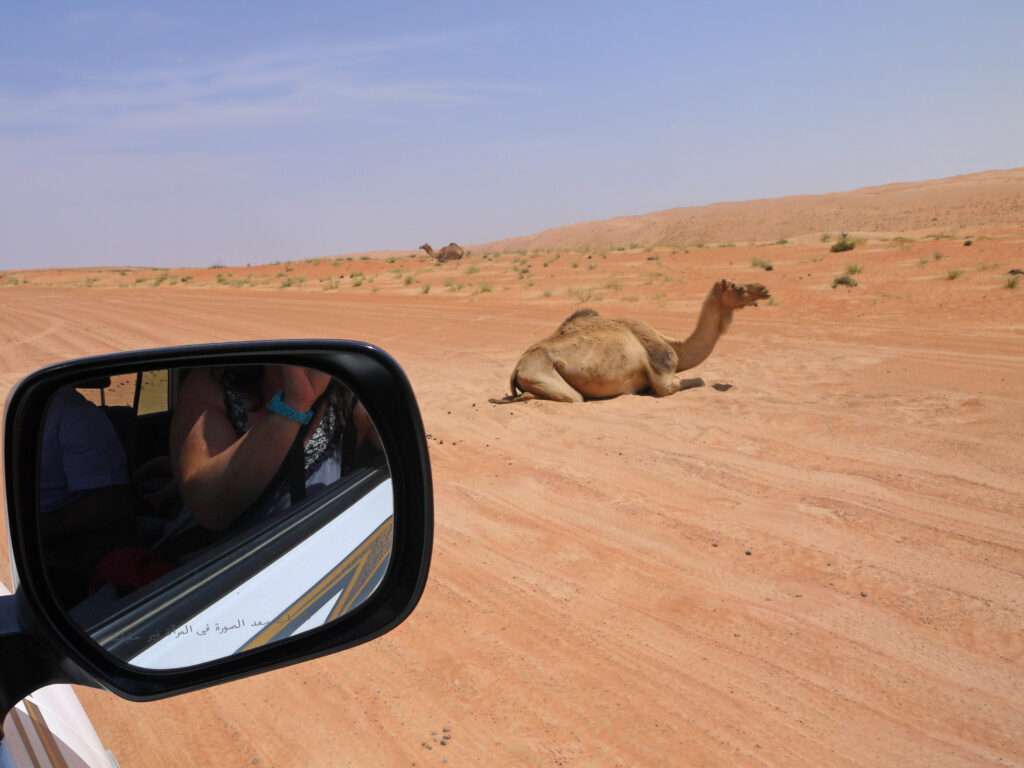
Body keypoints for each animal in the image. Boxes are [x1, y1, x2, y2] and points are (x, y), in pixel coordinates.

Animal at [489, 279, 770, 404]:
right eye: (738, 288)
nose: (764, 289)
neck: (674, 346)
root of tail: (517, 367)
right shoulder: (663, 378)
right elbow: (697, 380)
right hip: (544, 375)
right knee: (567, 397)